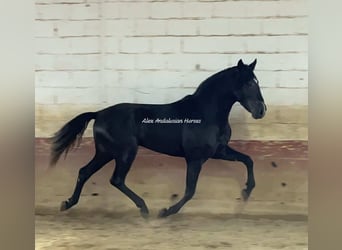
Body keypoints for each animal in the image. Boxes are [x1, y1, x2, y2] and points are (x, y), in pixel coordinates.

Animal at [50, 59, 268, 218]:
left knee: (85, 172)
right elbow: (190, 191)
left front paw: (246, 192)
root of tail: (99, 113)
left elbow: (248, 160)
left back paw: (67, 203)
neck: (206, 113)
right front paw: (166, 211)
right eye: (249, 83)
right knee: (116, 179)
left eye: (257, 81)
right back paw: (144, 209)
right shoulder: (195, 158)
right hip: (125, 152)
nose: (261, 110)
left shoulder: (218, 151)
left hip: (106, 152)